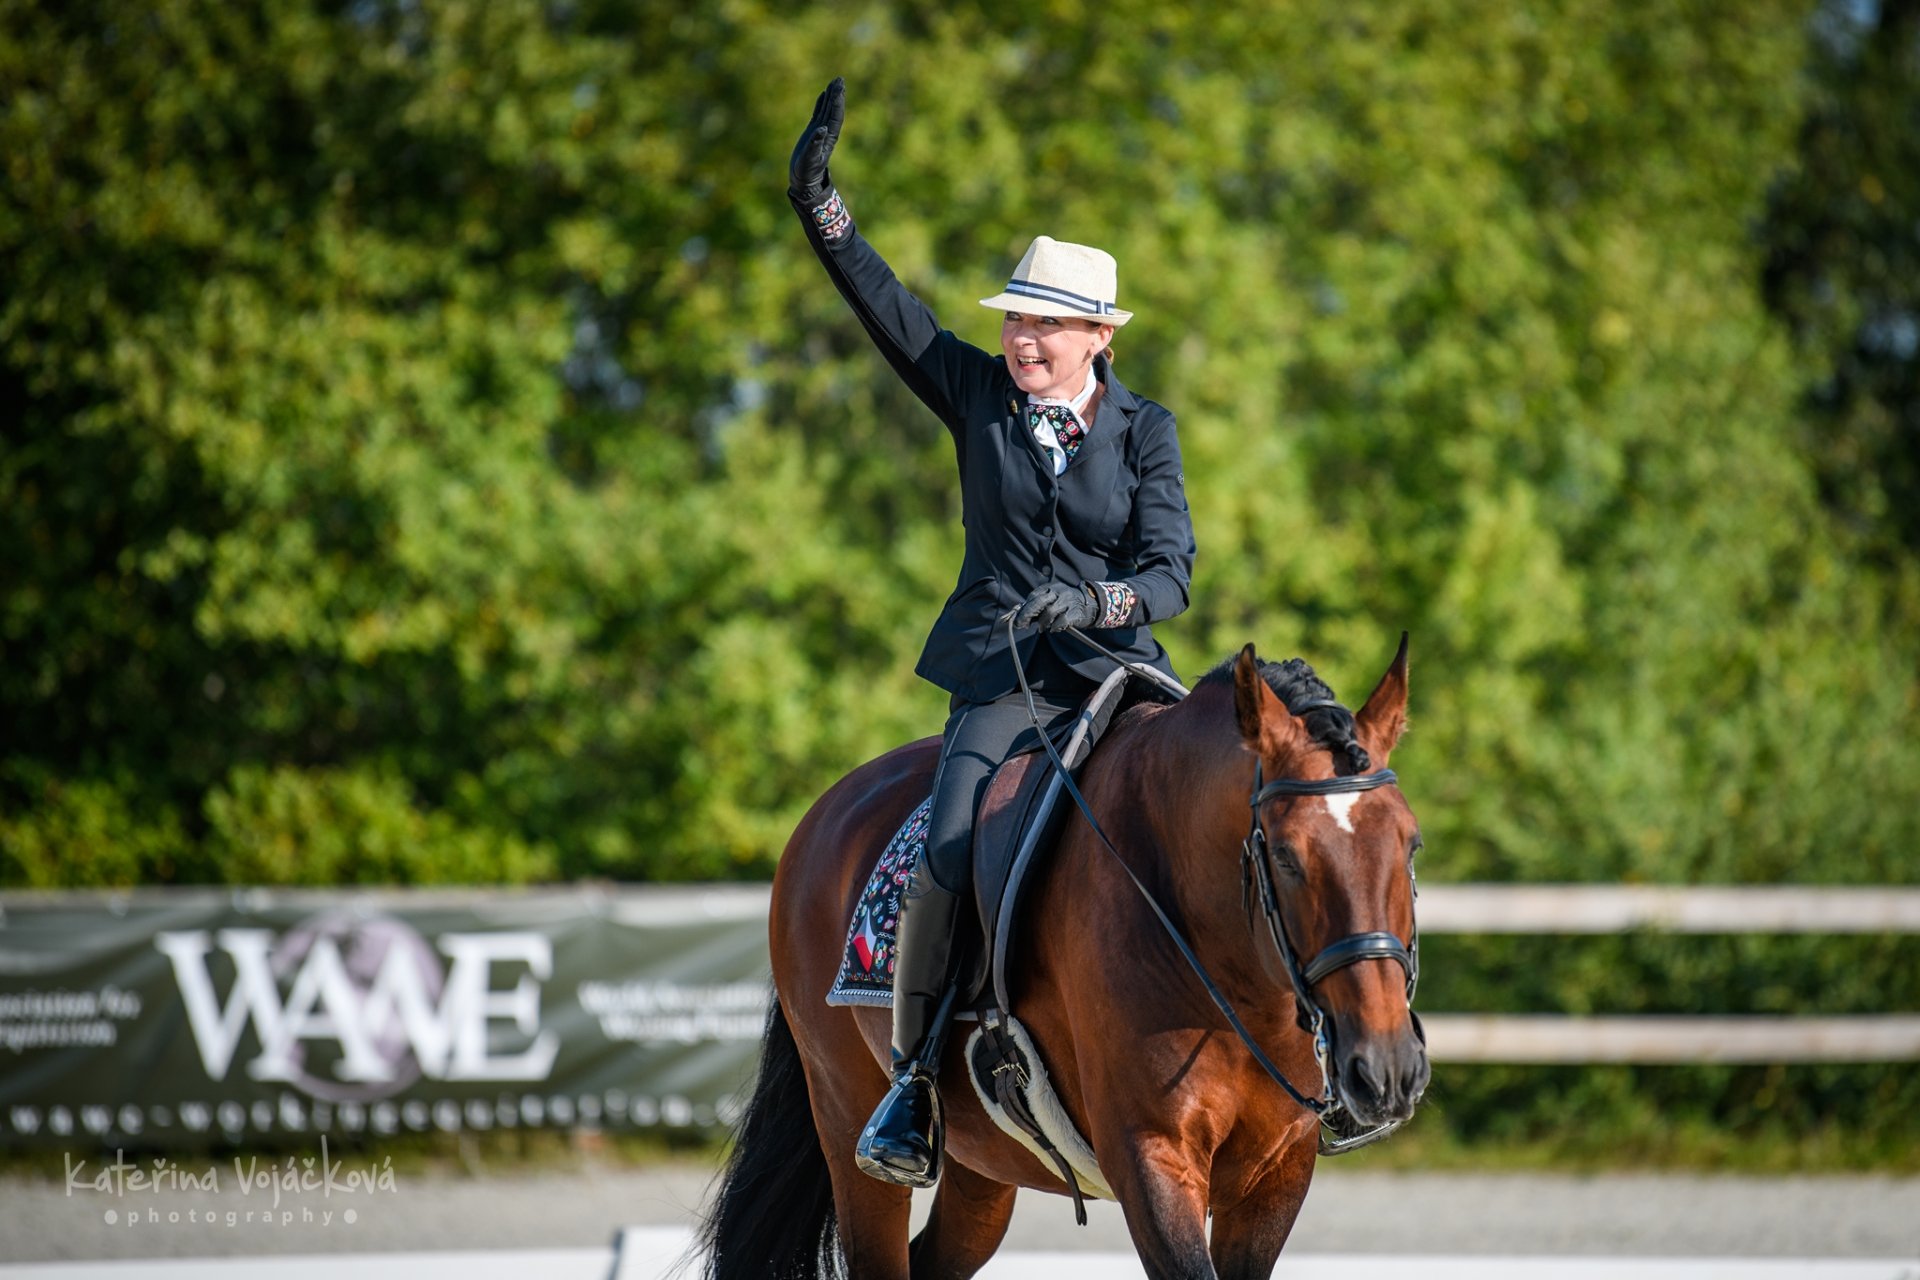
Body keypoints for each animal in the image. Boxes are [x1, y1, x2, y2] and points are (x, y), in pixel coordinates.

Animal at [698, 637, 1420, 1274]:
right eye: (1288, 858)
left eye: (1410, 842)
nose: (1385, 1070)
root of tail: (826, 811)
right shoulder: (1151, 1157)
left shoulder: (1276, 1173)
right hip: (849, 1123)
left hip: (982, 1166)